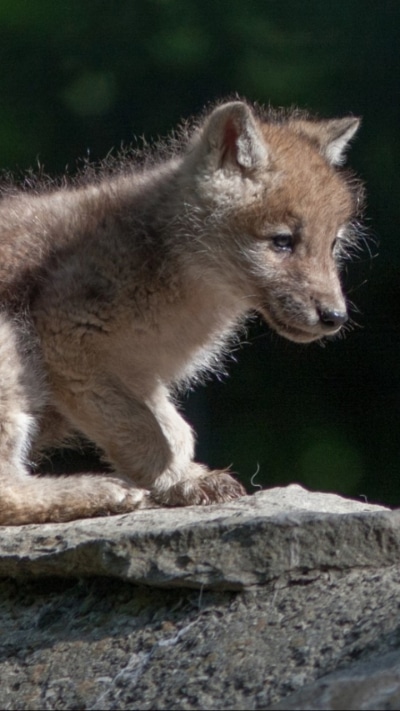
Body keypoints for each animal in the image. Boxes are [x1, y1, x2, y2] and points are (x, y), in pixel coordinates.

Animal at [0, 99, 362, 524]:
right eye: (282, 242)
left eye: (333, 244)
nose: (335, 317)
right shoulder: (66, 343)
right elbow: (147, 433)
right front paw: (179, 483)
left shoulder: (137, 375)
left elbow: (176, 432)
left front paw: (186, 476)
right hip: (12, 350)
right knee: (7, 495)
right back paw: (103, 491)